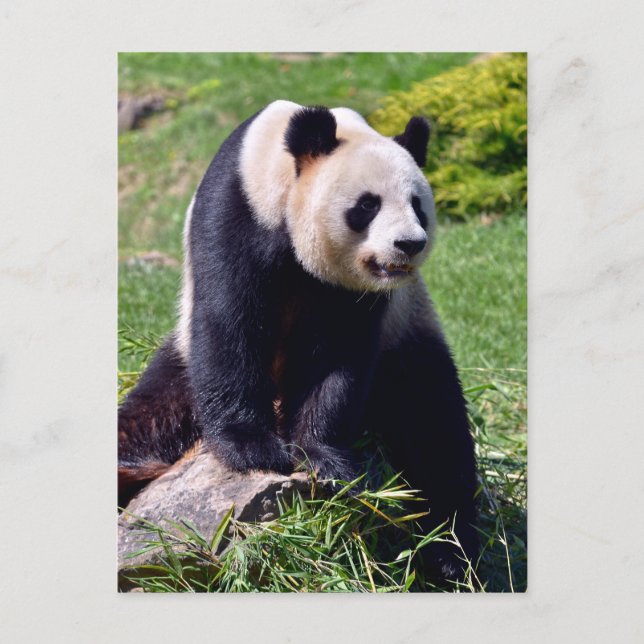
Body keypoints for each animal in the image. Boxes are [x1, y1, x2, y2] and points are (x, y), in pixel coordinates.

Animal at [118, 100, 478, 580]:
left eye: (418, 205)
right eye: (367, 205)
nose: (409, 244)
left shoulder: (358, 296)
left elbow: (335, 356)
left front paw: (323, 457)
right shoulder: (237, 213)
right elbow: (229, 322)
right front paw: (252, 449)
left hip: (407, 338)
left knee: (435, 430)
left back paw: (450, 553)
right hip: (179, 367)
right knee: (150, 416)